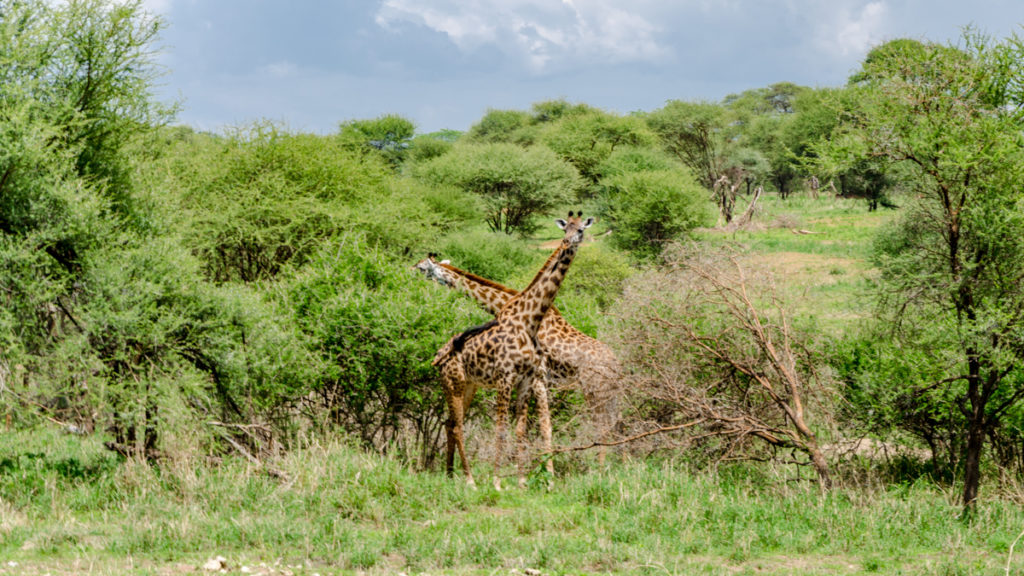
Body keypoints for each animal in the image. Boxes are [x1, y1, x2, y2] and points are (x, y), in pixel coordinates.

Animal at [430, 208, 593, 485]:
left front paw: (522, 482)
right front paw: (497, 482)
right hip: (454, 383)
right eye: (565, 229)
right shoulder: (505, 377)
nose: (567, 243)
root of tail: (437, 358)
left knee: (450, 423)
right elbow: (502, 428)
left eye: (580, 229)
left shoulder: (526, 380)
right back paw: (470, 480)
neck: (530, 321)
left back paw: (452, 475)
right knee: (458, 425)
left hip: (468, 386)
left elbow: (520, 430)